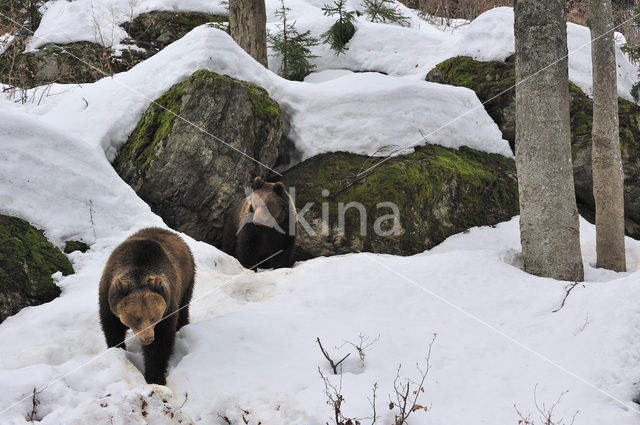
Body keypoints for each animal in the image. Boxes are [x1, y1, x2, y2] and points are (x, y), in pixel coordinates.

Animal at [99, 229, 194, 384]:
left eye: (154, 317)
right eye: (136, 318)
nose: (148, 338)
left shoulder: (168, 306)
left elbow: (161, 341)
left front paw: (155, 376)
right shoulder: (108, 297)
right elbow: (112, 327)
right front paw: (117, 348)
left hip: (187, 279)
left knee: (184, 307)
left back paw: (182, 325)